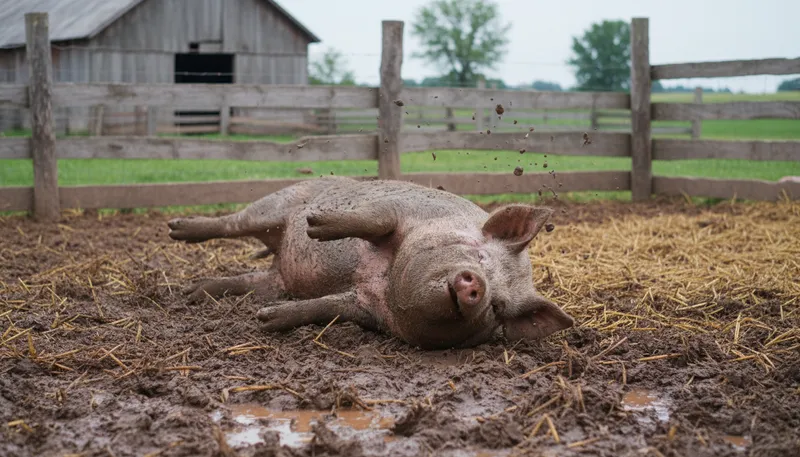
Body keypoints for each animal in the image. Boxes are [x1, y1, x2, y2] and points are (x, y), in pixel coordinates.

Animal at [167, 176, 574, 349]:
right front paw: (316, 224)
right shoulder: (400, 212)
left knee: (247, 281)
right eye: (479, 253)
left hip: (276, 278)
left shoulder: (363, 308)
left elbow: (322, 309)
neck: (384, 280)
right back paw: (175, 230)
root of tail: (279, 253)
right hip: (276, 203)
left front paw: (266, 320)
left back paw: (194, 293)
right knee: (230, 222)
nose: (476, 285)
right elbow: (375, 220)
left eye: (498, 307)